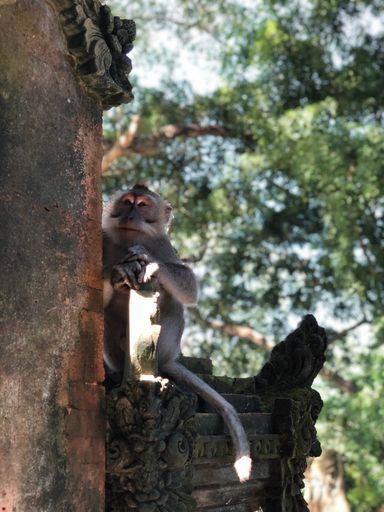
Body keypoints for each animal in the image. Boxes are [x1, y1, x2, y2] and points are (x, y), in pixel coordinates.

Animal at [103, 185, 252, 484]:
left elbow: (188, 287)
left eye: (143, 205)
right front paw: (118, 272)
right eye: (127, 202)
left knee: (171, 303)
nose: (130, 215)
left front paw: (149, 262)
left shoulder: (163, 245)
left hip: (167, 343)